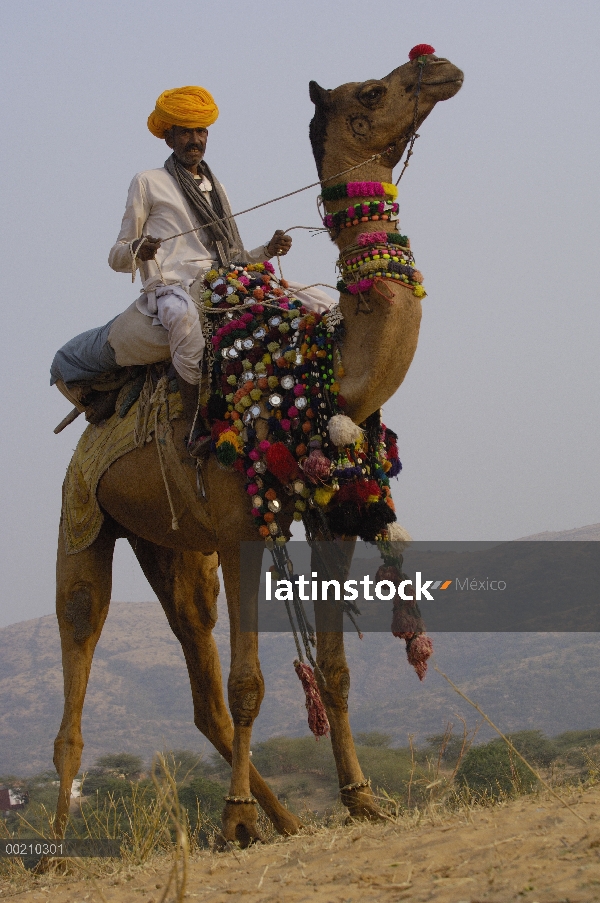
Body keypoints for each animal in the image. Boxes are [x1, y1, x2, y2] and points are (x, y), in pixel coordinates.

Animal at [52, 51, 464, 848]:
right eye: (374, 91)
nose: (439, 66)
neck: (320, 371)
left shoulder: (334, 515)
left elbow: (333, 669)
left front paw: (362, 799)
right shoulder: (242, 524)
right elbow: (251, 683)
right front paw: (237, 818)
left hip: (172, 544)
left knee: (200, 680)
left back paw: (287, 819)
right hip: (82, 515)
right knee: (80, 658)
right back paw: (57, 851)